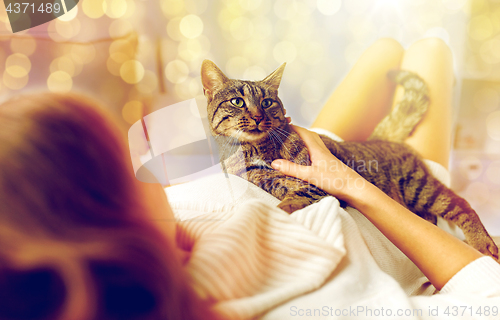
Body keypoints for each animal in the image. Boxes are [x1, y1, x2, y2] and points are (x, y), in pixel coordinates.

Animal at [201, 60, 498, 260]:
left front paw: (278, 213)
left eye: (267, 103)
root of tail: (379, 139)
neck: (257, 149)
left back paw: (483, 243)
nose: (258, 116)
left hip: (420, 187)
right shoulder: (271, 181)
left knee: (461, 204)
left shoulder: (317, 183)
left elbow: (293, 200)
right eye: (238, 102)